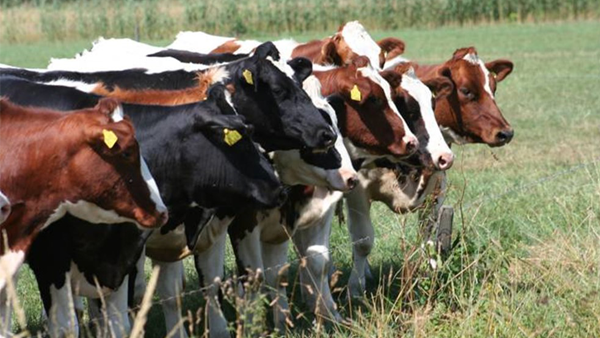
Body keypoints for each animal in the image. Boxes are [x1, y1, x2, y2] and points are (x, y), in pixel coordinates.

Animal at [0, 76, 284, 338]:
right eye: (236, 139)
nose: (279, 187)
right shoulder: (50, 259)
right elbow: (66, 327)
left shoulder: (122, 257)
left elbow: (119, 326)